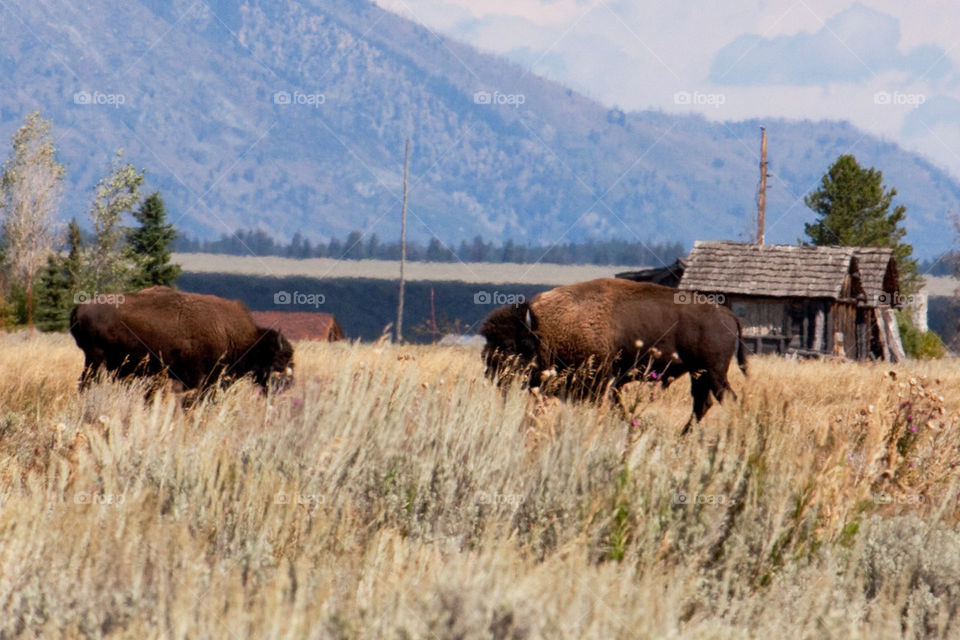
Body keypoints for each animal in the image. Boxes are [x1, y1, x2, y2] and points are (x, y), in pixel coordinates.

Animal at [480, 278, 746, 432]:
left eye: (512, 345)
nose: (490, 370)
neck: (545, 329)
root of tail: (728, 314)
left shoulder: (597, 382)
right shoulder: (609, 384)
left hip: (714, 372)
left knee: (727, 399)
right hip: (698, 373)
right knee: (703, 403)